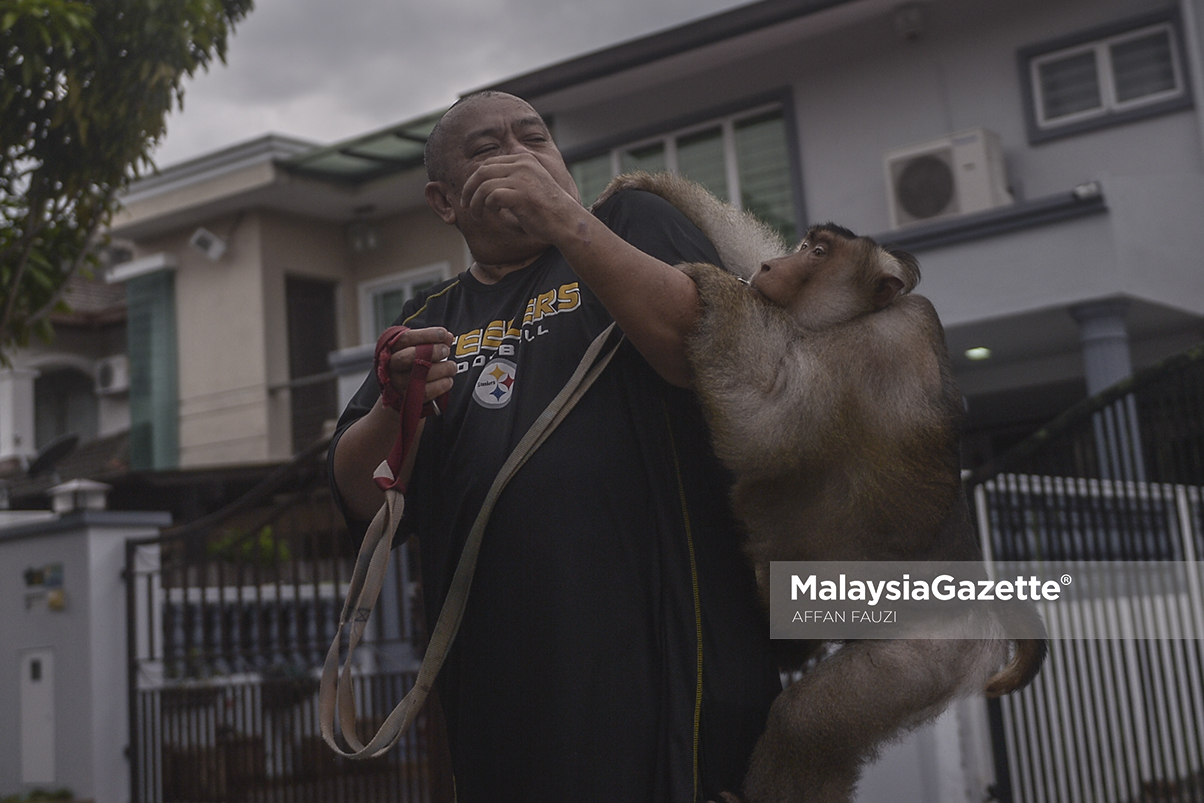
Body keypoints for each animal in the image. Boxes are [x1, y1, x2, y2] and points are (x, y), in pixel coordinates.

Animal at [592, 174, 1045, 803]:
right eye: (805, 243)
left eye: (820, 252)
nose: (774, 263)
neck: (848, 317)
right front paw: (657, 187)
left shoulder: (878, 346)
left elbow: (765, 422)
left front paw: (713, 285)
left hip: (934, 652)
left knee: (806, 725)